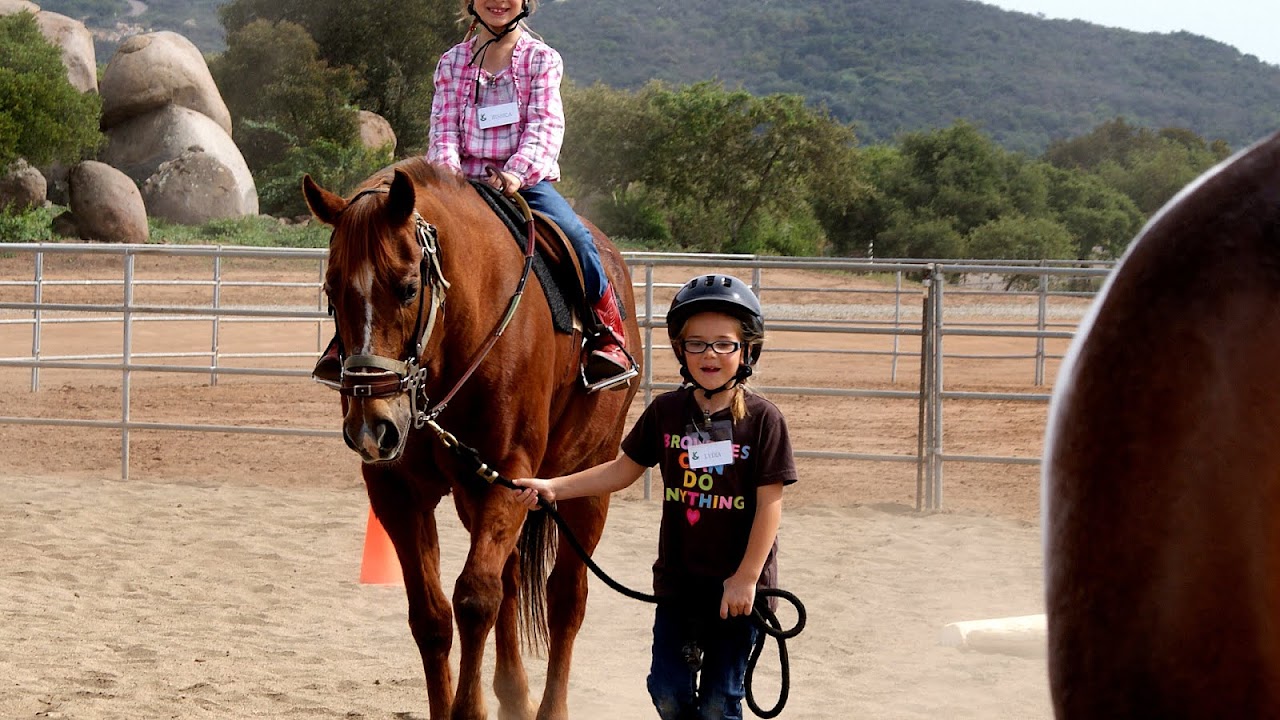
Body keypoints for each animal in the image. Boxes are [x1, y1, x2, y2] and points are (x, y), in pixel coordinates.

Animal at [302, 157, 641, 720]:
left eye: (408, 287)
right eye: (331, 291)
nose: (373, 427)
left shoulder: (510, 476)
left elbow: (475, 599)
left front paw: (469, 708)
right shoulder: (398, 492)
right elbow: (432, 615)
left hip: (589, 478)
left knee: (565, 599)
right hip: (477, 494)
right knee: (511, 581)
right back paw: (514, 695)